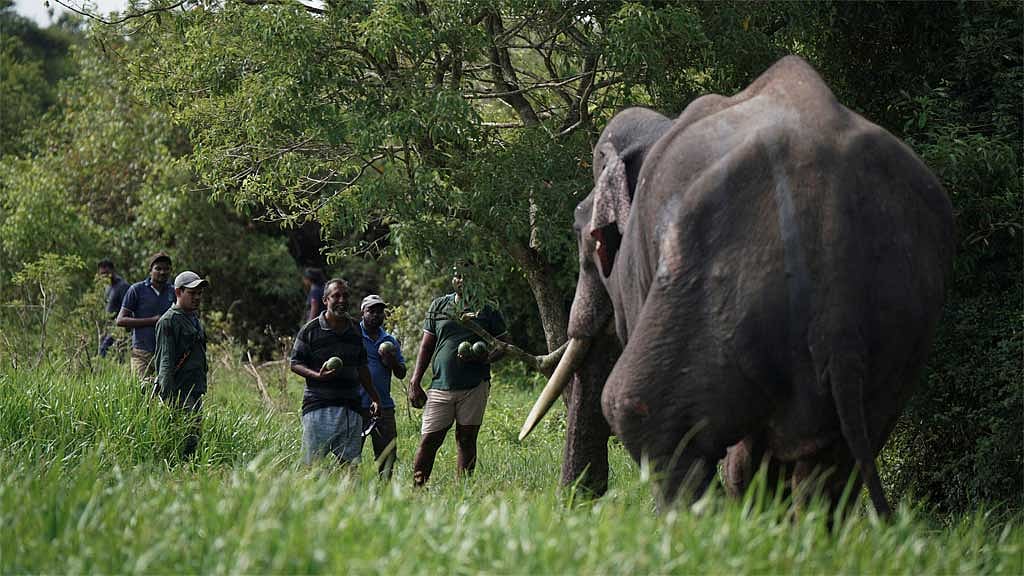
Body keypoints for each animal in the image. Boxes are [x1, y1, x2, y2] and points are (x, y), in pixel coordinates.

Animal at [521, 56, 955, 515]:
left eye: (580, 228)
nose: (577, 502)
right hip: (896, 334)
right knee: (825, 468)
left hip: (725, 290)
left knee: (643, 411)